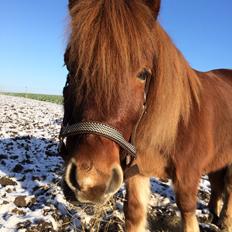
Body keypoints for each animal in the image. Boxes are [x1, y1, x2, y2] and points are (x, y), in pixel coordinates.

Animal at [60, 0, 232, 231]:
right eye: (69, 65)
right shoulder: (137, 173)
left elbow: (188, 212)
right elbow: (134, 212)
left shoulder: (187, 178)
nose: (90, 180)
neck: (176, 126)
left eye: (143, 74)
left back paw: (225, 221)